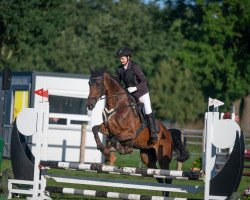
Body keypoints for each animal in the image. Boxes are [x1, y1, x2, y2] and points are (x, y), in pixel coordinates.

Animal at [86, 67, 189, 197]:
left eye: (99, 84)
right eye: (89, 83)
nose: (89, 104)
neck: (117, 105)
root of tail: (168, 132)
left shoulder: (129, 133)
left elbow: (115, 139)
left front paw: (122, 150)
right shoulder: (107, 129)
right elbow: (95, 129)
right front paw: (103, 149)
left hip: (163, 158)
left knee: (167, 176)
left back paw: (166, 194)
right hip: (147, 157)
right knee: (157, 174)